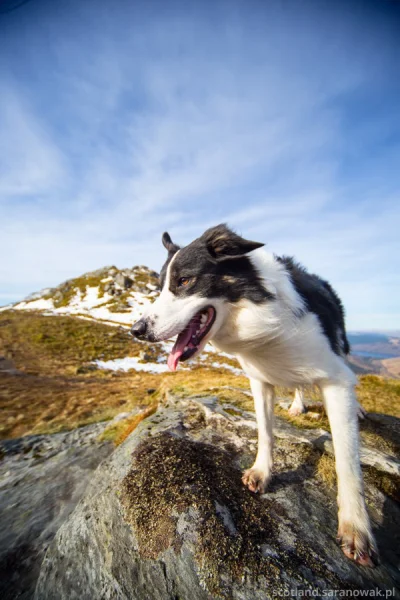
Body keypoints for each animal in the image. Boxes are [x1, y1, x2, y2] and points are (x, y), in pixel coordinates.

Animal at [132, 224, 378, 568]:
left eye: (184, 281)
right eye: (158, 287)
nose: (137, 330)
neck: (260, 316)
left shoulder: (336, 380)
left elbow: (347, 460)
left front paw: (355, 527)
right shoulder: (259, 381)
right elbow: (265, 430)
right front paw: (262, 471)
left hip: (340, 346)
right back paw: (297, 405)